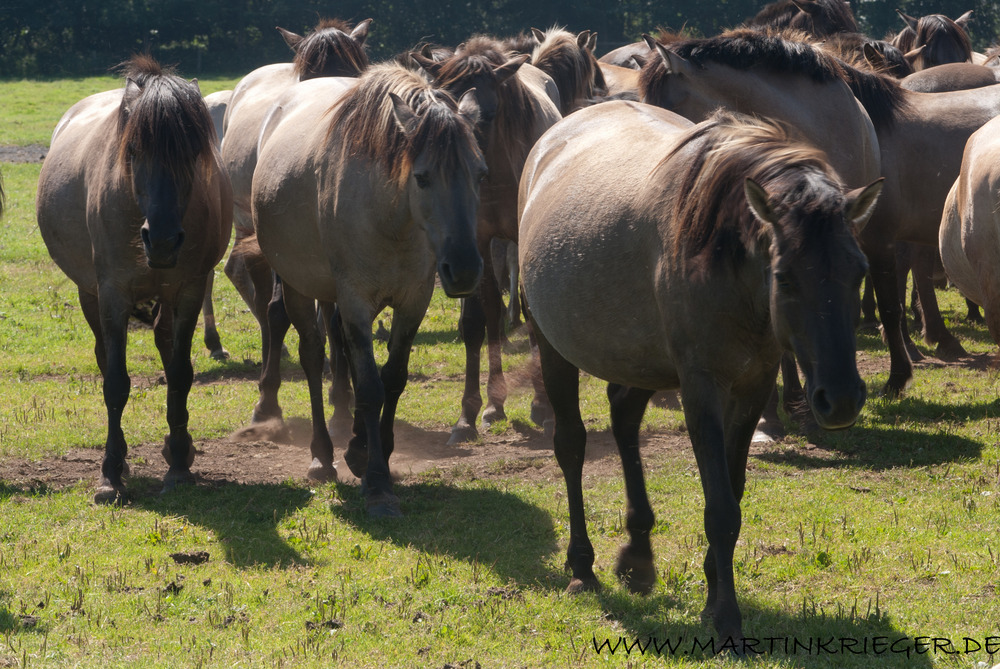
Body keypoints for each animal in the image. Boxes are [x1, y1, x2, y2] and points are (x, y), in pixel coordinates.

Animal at [35, 57, 234, 504]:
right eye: (134, 150)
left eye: (193, 151)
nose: (161, 240)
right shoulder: (111, 294)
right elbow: (115, 382)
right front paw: (110, 473)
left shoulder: (190, 289)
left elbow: (180, 373)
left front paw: (178, 465)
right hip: (89, 293)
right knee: (104, 355)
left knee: (166, 347)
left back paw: (179, 446)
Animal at [250, 62, 484, 516]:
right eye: (422, 177)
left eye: (478, 173)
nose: (464, 269)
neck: (391, 216)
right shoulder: (357, 302)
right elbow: (371, 385)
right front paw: (376, 482)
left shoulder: (413, 302)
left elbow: (391, 379)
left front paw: (373, 453)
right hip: (299, 287)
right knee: (312, 354)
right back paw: (322, 456)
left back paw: (354, 443)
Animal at [408, 35, 564, 444]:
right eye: (441, 105)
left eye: (489, 114)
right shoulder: (472, 245)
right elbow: (478, 319)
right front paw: (472, 412)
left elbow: (531, 313)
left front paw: (544, 407)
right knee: (494, 311)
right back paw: (496, 404)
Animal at [520, 105, 880, 648]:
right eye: (785, 277)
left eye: (858, 271)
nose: (839, 400)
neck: (723, 260)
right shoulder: (701, 389)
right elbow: (721, 510)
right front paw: (727, 617)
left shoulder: (753, 387)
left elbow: (732, 492)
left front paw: (712, 595)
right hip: (553, 349)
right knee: (572, 446)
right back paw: (582, 566)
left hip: (638, 360)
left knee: (624, 421)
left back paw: (638, 556)